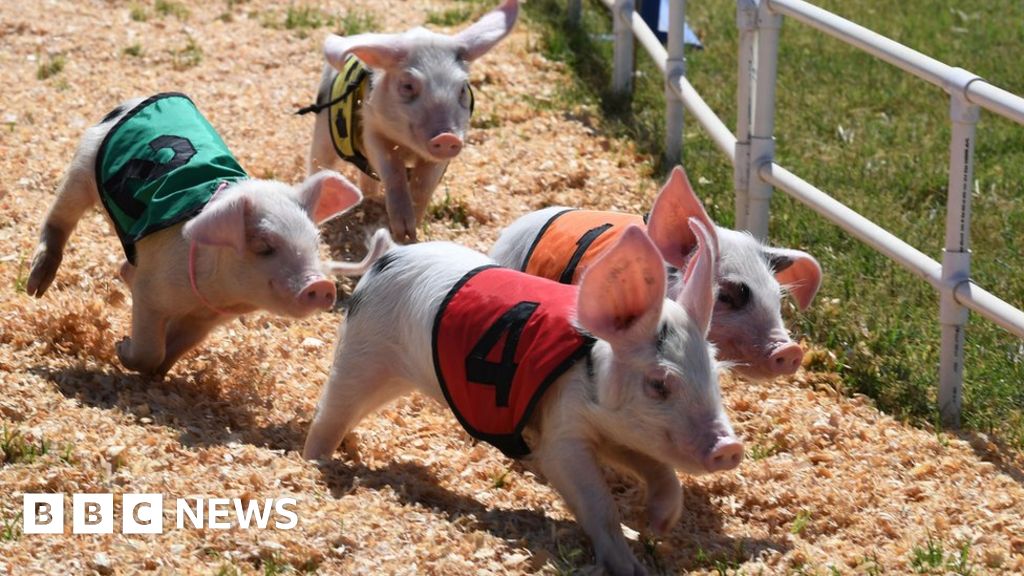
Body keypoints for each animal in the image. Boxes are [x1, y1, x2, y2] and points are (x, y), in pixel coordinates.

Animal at [26, 93, 364, 376]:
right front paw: (121, 348)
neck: (218, 293)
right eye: (264, 246)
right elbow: (149, 348)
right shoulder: (150, 293)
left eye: (316, 244)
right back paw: (36, 287)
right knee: (59, 218)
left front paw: (158, 375)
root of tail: (129, 103)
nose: (321, 284)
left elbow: (174, 349)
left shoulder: (205, 320)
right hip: (82, 168)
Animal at [304, 0, 518, 243]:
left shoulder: (443, 155)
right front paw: (402, 232)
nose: (447, 137)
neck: (408, 146)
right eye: (407, 86)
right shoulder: (372, 129)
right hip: (323, 129)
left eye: (462, 88)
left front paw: (411, 233)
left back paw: (368, 198)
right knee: (318, 162)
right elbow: (392, 170)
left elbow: (424, 185)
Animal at [304, 221, 742, 575]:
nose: (730, 448)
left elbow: (659, 469)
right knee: (331, 410)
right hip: (362, 352)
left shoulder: (619, 432)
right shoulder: (561, 428)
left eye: (715, 375)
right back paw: (315, 464)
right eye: (659, 384)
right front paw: (632, 568)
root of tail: (390, 255)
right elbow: (594, 499)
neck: (590, 372)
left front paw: (660, 525)